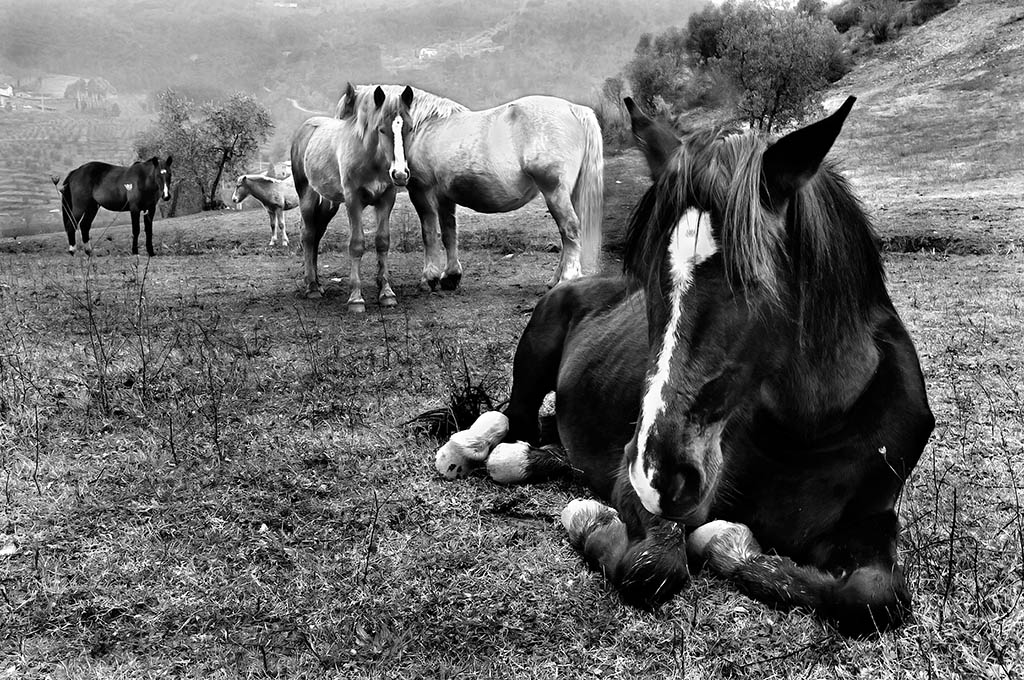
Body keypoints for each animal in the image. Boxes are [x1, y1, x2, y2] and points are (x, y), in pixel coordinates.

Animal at [290, 83, 413, 313]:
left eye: (409, 128)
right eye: (381, 129)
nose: (400, 174)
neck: (370, 157)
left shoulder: (386, 200)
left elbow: (382, 242)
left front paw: (387, 293)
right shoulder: (353, 201)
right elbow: (356, 244)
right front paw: (356, 298)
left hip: (328, 204)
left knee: (317, 235)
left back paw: (318, 284)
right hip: (307, 197)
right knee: (308, 235)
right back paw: (312, 287)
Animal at [367, 85, 604, 290]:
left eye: (404, 128)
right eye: (381, 129)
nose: (399, 174)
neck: (426, 126)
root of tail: (573, 108)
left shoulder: (421, 192)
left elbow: (429, 233)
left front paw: (429, 278)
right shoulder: (444, 196)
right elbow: (448, 232)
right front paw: (451, 276)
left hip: (555, 192)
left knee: (569, 229)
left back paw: (566, 279)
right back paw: (555, 280)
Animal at [431, 97, 935, 636]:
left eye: (753, 279)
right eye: (650, 273)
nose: (660, 473)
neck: (808, 431)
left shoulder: (871, 522)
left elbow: (875, 598)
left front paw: (728, 545)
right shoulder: (639, 489)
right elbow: (653, 566)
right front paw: (593, 520)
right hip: (536, 366)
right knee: (510, 417)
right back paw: (467, 450)